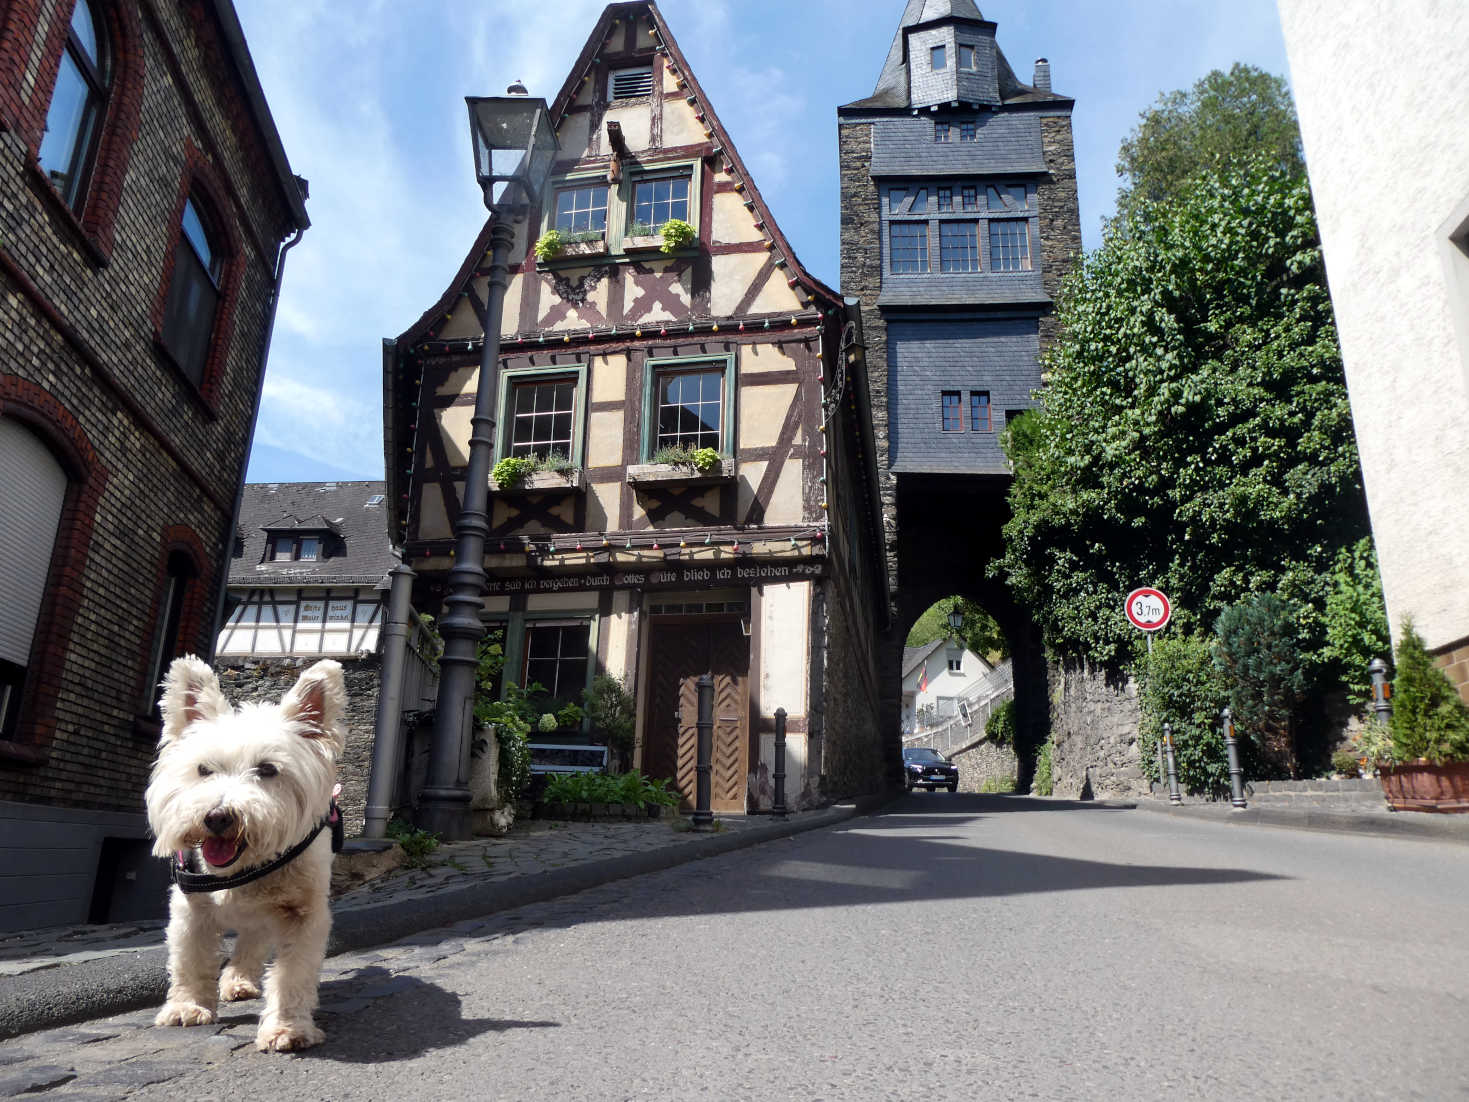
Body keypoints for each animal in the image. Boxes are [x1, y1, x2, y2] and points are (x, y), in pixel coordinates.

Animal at [146, 655, 346, 1052]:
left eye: (267, 769)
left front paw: (287, 1028)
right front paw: (187, 1007)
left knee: (254, 943)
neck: (243, 868)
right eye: (203, 769)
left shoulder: (303, 913)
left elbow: (293, 973)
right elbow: (189, 957)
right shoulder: (190, 907)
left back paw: (239, 980)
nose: (217, 816)